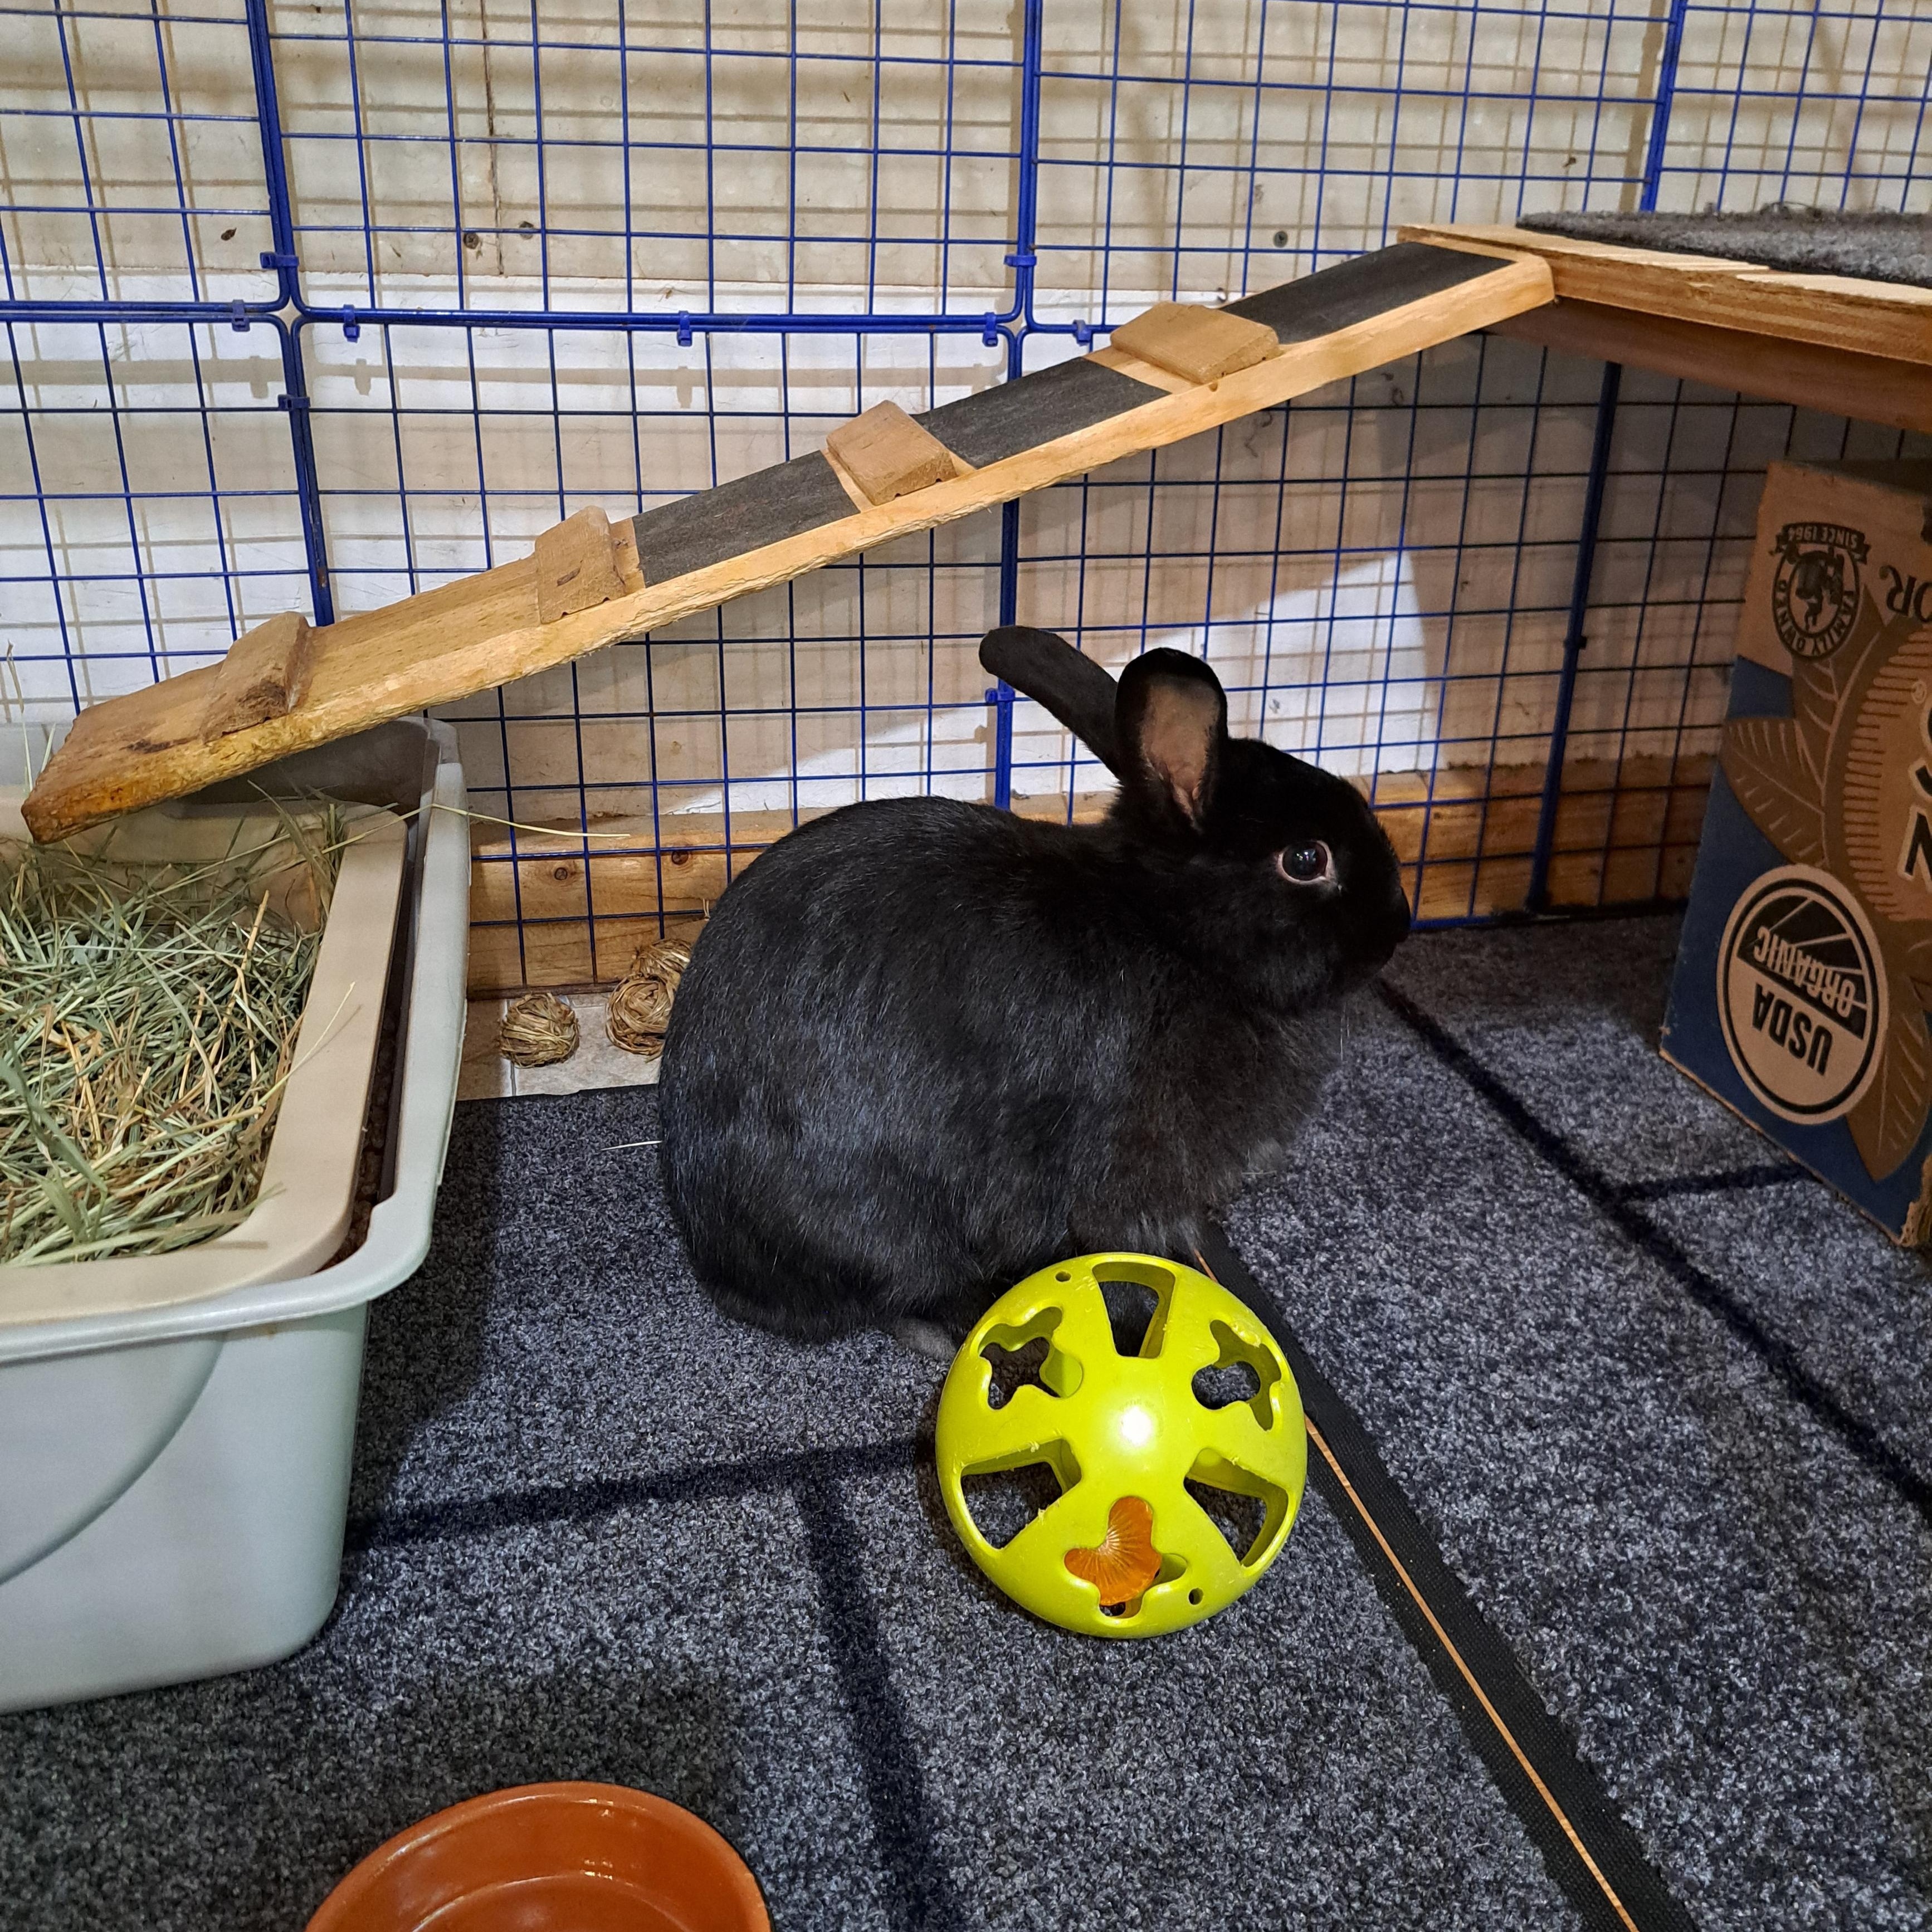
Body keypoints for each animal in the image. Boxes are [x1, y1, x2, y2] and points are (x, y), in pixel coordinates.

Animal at [657, 625, 1411, 1353]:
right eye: (1306, 859)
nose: (1399, 924)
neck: (1168, 931)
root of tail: (721, 1266)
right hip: (888, 1222)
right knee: (905, 1292)